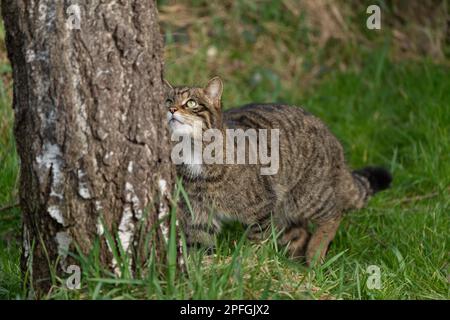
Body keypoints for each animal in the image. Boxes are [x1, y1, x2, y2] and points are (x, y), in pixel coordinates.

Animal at [163, 75, 392, 264]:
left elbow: (257, 241)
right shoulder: (197, 214)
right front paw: (201, 269)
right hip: (285, 209)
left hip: (308, 196)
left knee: (334, 213)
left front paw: (249, 263)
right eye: (167, 101)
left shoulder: (261, 208)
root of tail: (334, 141)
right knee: (299, 233)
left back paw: (315, 253)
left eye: (191, 103)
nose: (171, 110)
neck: (192, 152)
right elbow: (200, 247)